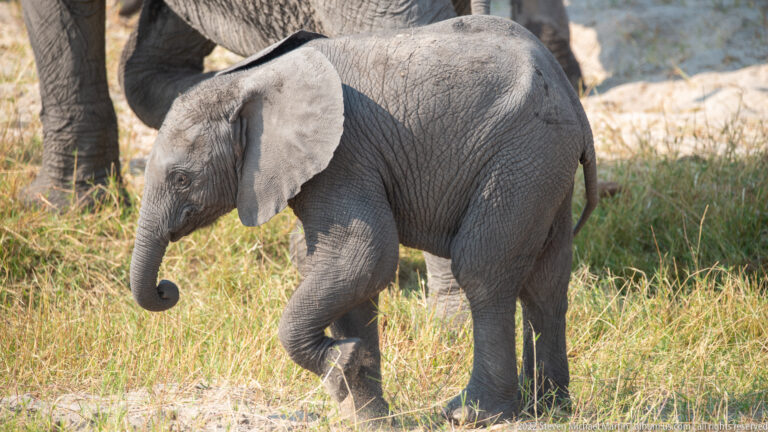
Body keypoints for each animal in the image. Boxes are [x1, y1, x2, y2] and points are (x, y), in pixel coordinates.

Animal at [129, 16, 598, 425]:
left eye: (182, 178)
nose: (166, 289)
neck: (252, 81)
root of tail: (572, 97)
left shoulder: (344, 153)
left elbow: (362, 257)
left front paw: (343, 361)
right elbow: (343, 271)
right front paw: (365, 411)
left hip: (521, 155)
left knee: (483, 270)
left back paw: (474, 414)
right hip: (544, 165)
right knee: (545, 282)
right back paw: (549, 409)